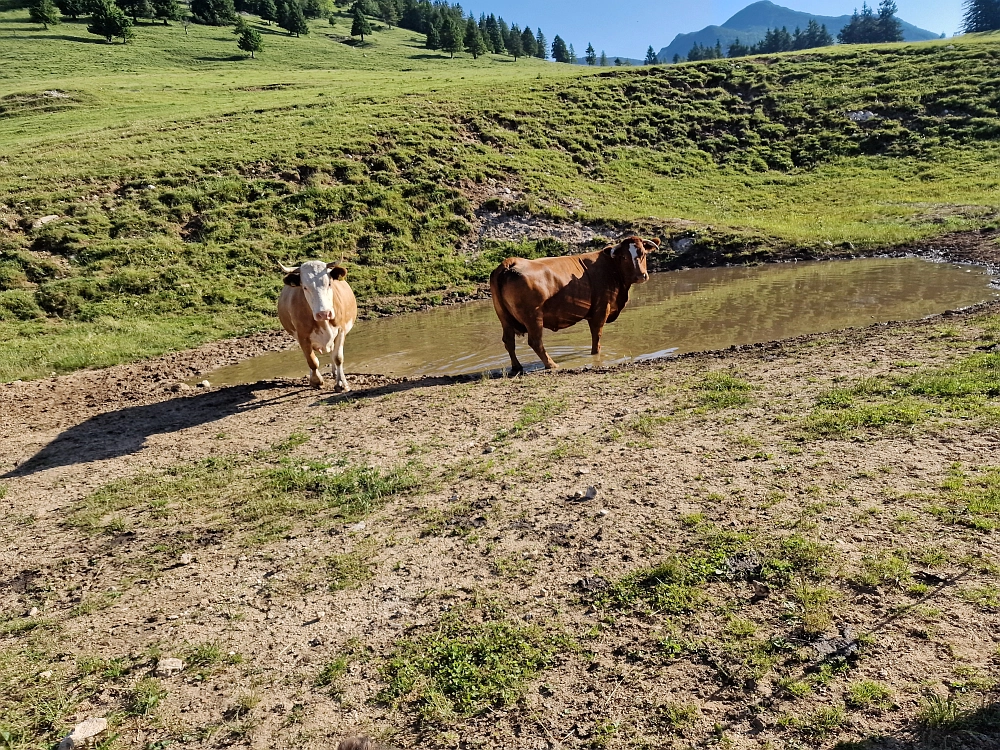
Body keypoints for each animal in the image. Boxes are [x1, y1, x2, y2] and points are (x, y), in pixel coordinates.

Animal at [280, 262, 358, 390]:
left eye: (329, 283)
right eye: (305, 287)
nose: (324, 313)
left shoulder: (341, 331)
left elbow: (338, 358)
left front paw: (341, 382)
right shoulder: (302, 337)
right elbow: (312, 361)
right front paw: (316, 380)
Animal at [490, 236, 660, 374]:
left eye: (643, 253)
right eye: (624, 256)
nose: (641, 276)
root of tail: (510, 262)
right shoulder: (600, 310)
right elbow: (596, 338)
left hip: (504, 317)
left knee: (509, 341)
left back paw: (517, 367)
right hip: (533, 317)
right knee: (535, 342)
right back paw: (551, 365)